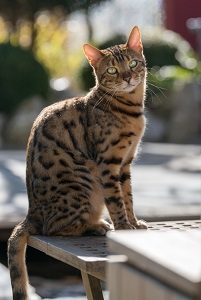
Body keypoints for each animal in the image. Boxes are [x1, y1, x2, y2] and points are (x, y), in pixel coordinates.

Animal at [8, 27, 148, 298]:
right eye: (112, 70)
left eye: (133, 63)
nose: (127, 78)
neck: (130, 109)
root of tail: (30, 214)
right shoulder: (108, 162)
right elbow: (117, 201)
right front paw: (124, 227)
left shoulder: (125, 164)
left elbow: (128, 197)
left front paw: (134, 223)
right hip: (82, 183)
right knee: (53, 228)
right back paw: (98, 226)